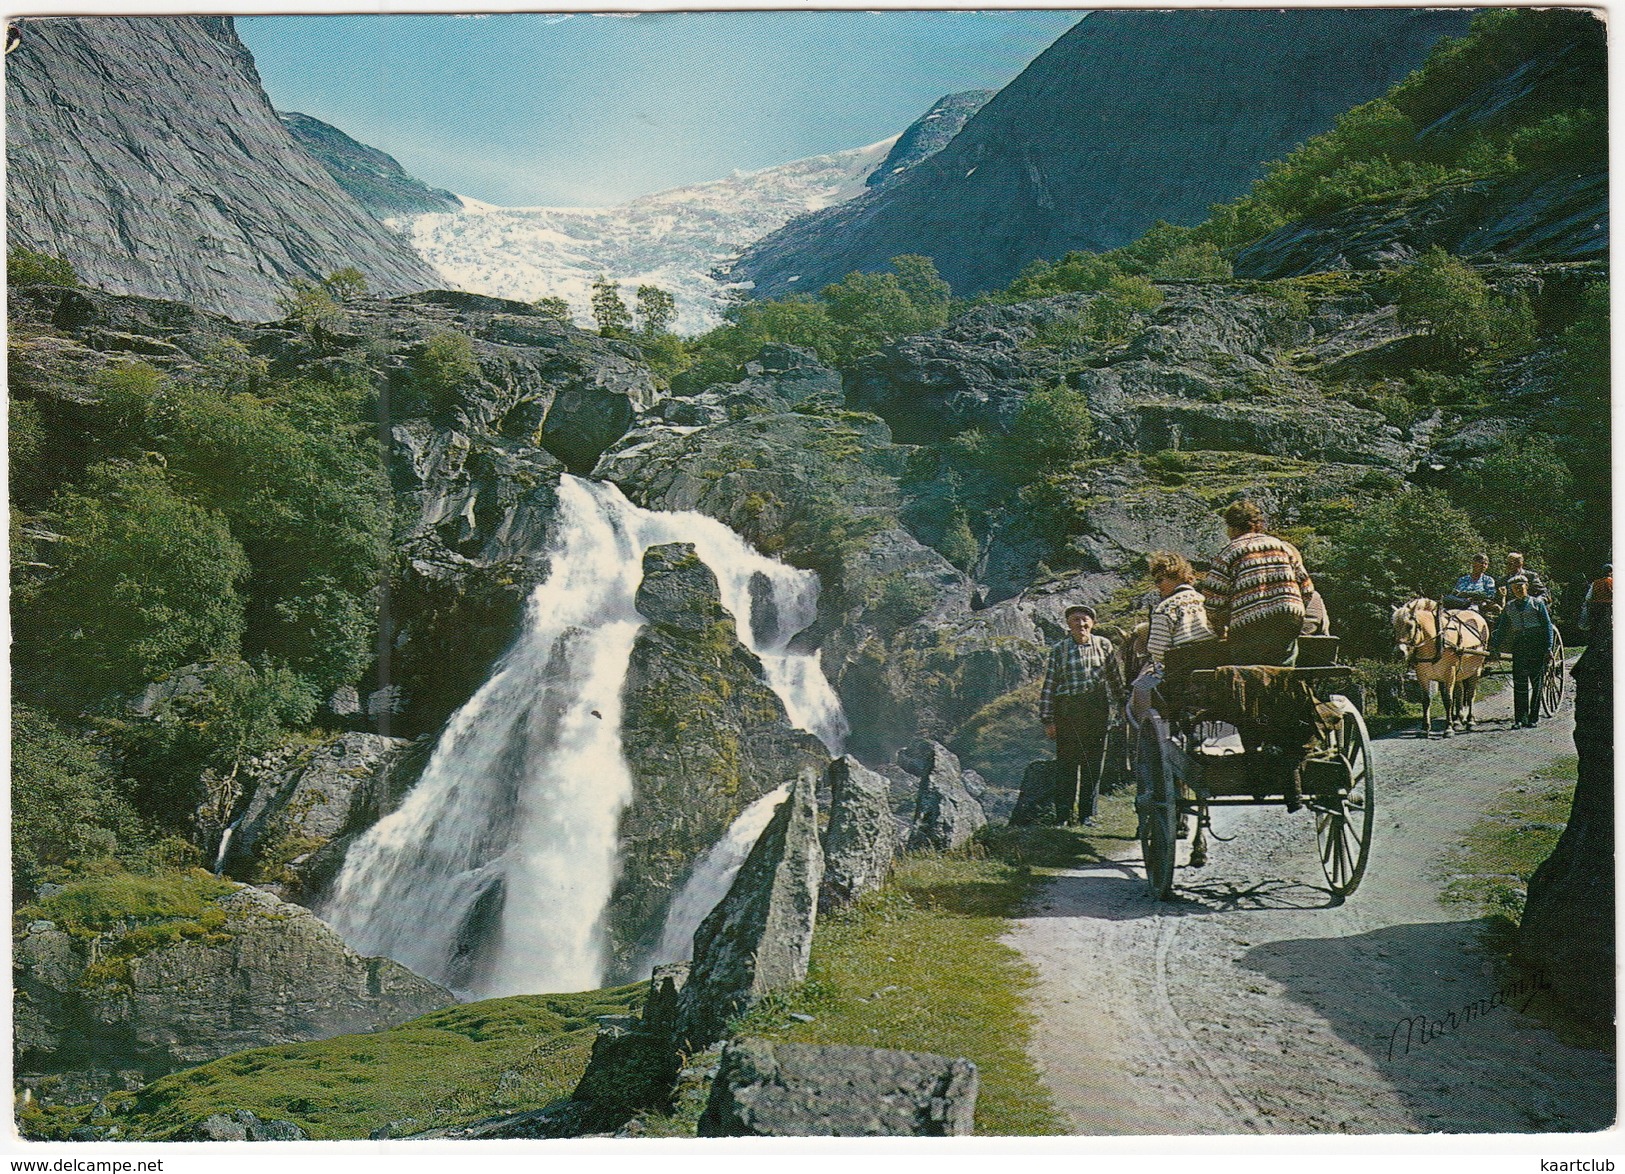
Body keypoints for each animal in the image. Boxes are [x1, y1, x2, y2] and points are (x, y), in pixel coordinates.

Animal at [1391, 595, 1488, 731]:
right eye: (1394, 627)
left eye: (1410, 626)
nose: (1399, 652)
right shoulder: (1422, 675)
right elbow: (1426, 700)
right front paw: (1425, 727)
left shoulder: (1449, 673)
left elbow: (1448, 700)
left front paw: (1448, 728)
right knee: (1459, 692)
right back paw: (1458, 719)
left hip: (1476, 668)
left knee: (1470, 694)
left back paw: (1470, 720)